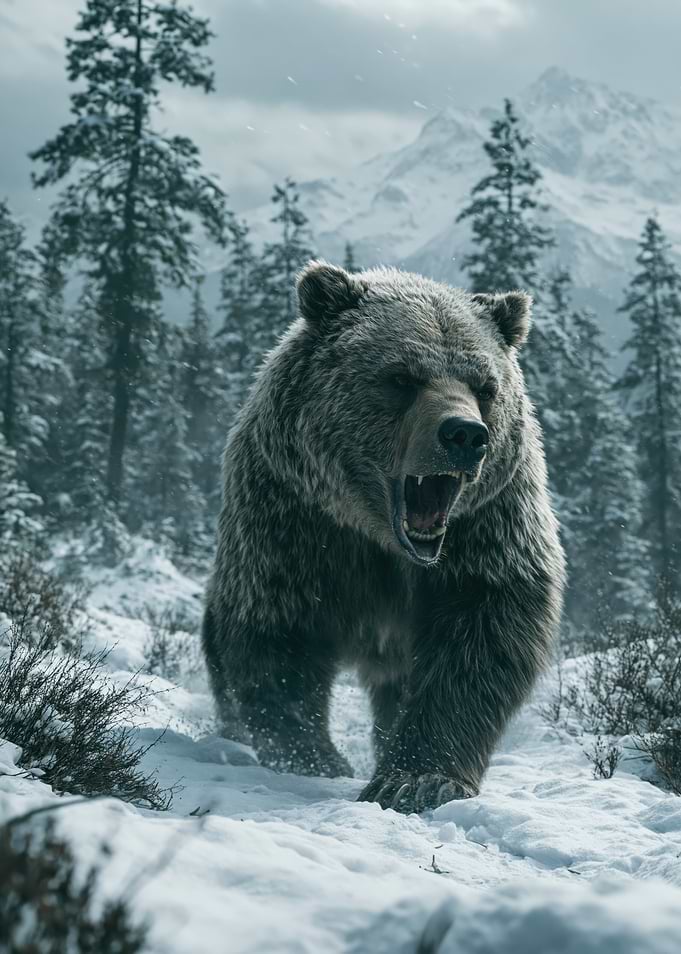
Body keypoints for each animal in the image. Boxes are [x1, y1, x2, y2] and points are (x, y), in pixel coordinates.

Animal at [202, 261, 565, 813]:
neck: (379, 534)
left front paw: (416, 779)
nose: (464, 434)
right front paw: (316, 758)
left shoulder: (486, 529)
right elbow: (279, 637)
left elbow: (480, 643)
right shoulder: (293, 519)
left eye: (485, 386)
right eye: (402, 377)